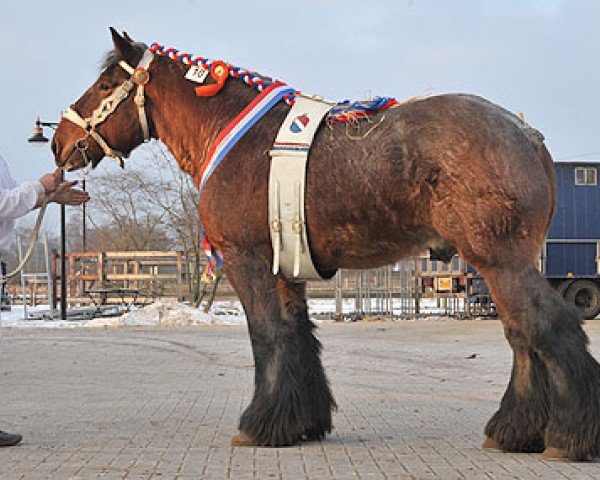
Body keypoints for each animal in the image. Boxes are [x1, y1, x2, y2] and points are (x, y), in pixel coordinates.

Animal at [52, 30, 600, 462]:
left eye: (105, 85)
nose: (59, 141)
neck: (241, 139)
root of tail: (526, 133)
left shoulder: (247, 261)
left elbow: (268, 336)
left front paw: (259, 426)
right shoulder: (286, 267)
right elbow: (297, 337)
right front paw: (298, 424)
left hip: (501, 261)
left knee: (548, 328)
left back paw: (570, 439)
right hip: (501, 265)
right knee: (521, 336)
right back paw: (513, 433)